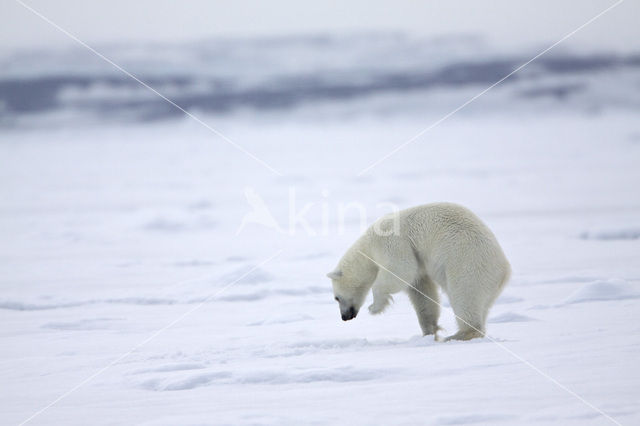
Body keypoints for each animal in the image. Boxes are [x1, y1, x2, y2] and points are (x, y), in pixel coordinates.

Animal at [328, 202, 512, 340]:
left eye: (336, 298)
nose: (344, 317)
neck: (367, 247)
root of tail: (505, 271)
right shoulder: (419, 264)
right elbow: (422, 292)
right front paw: (429, 330)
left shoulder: (391, 242)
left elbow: (401, 269)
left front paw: (374, 308)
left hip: (468, 263)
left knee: (465, 294)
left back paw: (459, 334)